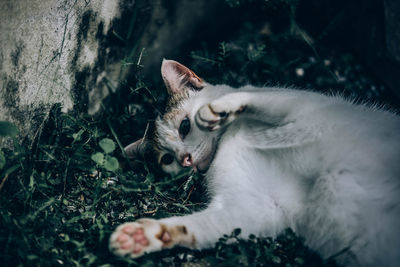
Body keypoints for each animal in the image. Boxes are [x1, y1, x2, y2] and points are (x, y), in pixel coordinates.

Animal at [108, 59, 400, 266]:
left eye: (184, 127)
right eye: (167, 159)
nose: (185, 160)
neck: (225, 145)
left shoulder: (299, 110)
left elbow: (259, 98)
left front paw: (219, 109)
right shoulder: (255, 206)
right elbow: (197, 226)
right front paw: (144, 236)